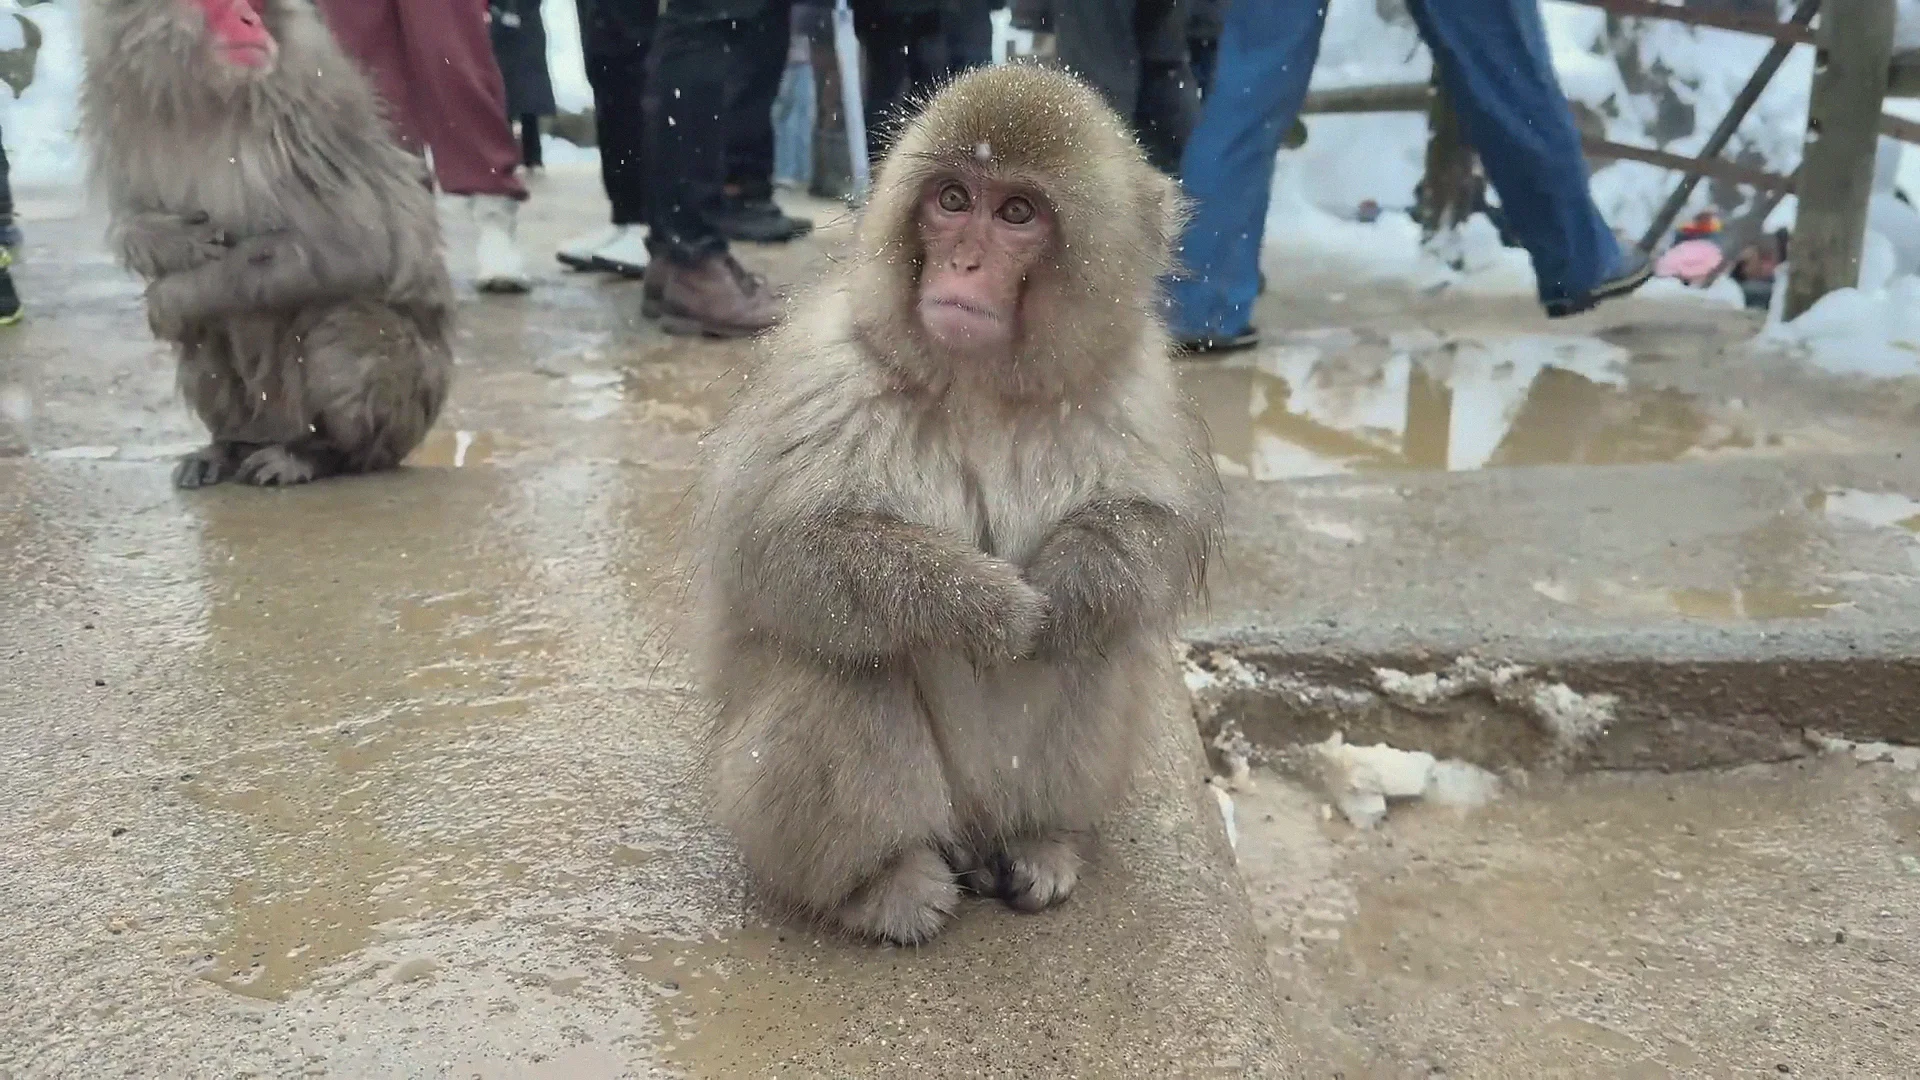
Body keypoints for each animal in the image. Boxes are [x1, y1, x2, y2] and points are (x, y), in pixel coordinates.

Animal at [78, 0, 454, 489]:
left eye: (253, 3)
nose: (250, 20)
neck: (203, 100)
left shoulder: (304, 120)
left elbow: (357, 249)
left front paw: (170, 296)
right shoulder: (122, 115)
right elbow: (128, 216)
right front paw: (164, 240)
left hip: (406, 404)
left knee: (345, 321)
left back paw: (320, 453)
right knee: (205, 334)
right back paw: (228, 445)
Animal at [689, 62, 1226, 946]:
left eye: (1016, 213)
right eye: (951, 200)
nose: (965, 264)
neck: (982, 387)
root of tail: (972, 835)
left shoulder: (1134, 384)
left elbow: (1153, 530)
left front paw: (1072, 582)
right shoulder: (828, 369)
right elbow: (778, 549)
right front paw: (984, 607)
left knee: (1099, 654)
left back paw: (1043, 838)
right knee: (842, 658)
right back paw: (882, 882)